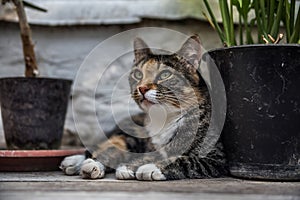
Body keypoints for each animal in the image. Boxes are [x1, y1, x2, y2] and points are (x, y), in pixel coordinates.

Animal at [60, 35, 227, 180]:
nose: (142, 88)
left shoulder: (216, 158)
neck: (165, 119)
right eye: (138, 74)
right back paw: (81, 163)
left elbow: (183, 159)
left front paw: (146, 167)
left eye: (165, 74)